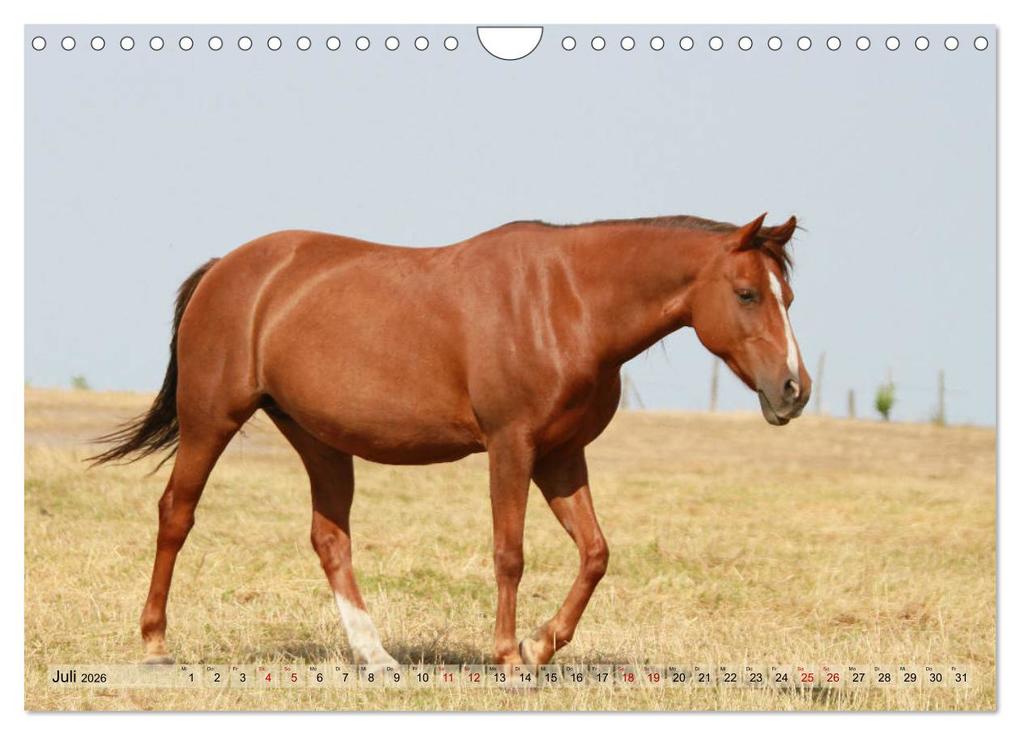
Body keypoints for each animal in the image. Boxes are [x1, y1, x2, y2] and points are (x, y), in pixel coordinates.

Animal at [90, 212, 811, 667]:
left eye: (789, 296)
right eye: (747, 293)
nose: (793, 389)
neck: (567, 303)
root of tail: (226, 269)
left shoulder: (560, 455)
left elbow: (596, 553)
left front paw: (541, 645)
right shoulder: (512, 446)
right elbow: (510, 553)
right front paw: (508, 654)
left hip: (320, 440)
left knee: (329, 540)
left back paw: (375, 655)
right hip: (211, 420)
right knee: (176, 514)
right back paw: (155, 642)